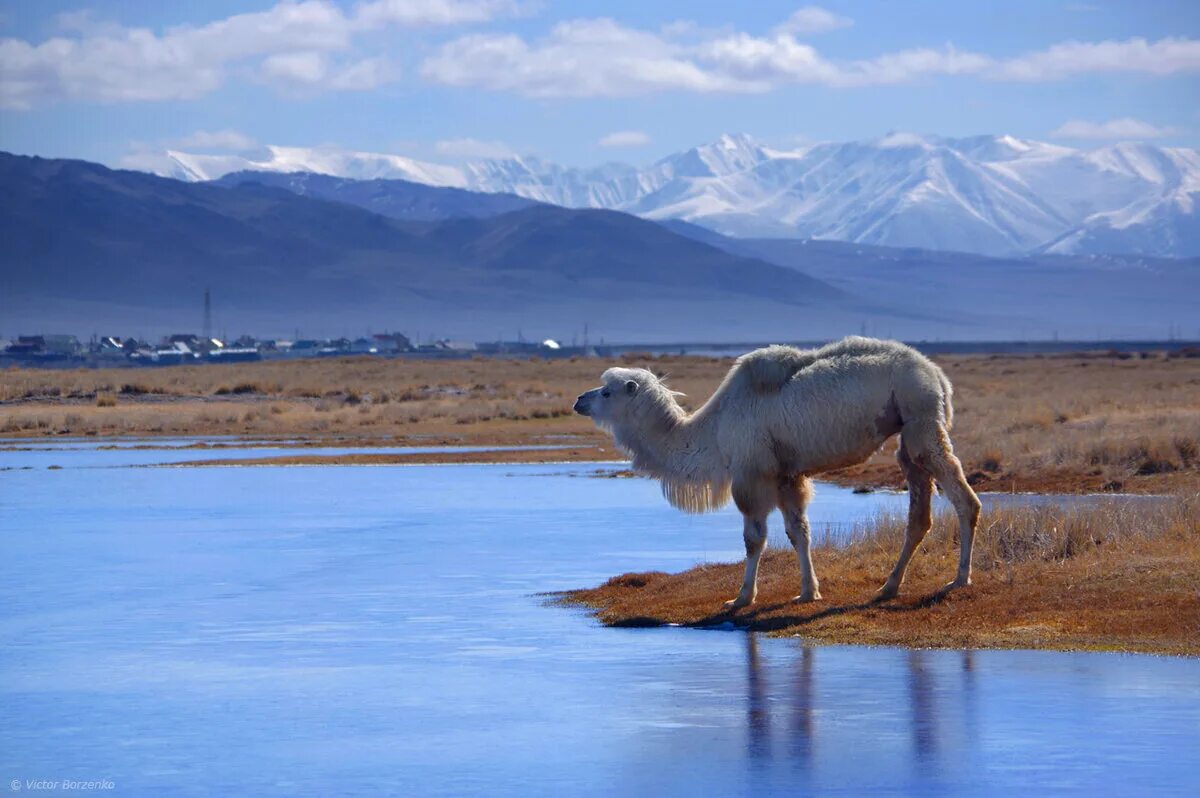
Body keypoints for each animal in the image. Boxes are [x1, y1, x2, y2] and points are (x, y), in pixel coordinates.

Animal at [576, 333, 979, 604]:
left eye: (607, 392)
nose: (579, 400)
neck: (713, 431)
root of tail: (937, 375)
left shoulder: (752, 474)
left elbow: (754, 538)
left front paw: (741, 597)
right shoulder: (786, 474)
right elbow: (798, 531)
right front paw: (808, 591)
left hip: (920, 415)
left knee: (964, 499)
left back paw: (959, 580)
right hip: (909, 427)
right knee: (919, 511)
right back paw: (889, 586)